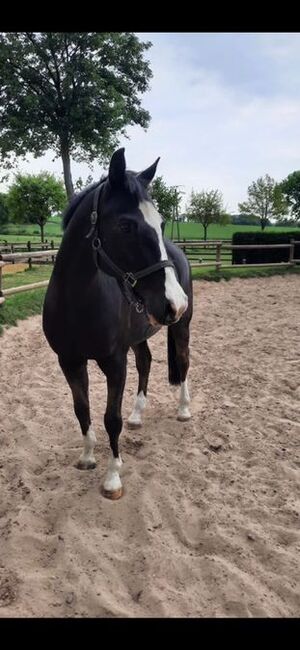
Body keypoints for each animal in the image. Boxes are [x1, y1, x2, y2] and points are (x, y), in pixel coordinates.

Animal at [42, 148, 193, 496]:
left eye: (161, 223)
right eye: (126, 226)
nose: (174, 302)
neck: (77, 302)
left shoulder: (114, 362)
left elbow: (112, 418)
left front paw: (113, 476)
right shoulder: (69, 361)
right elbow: (82, 409)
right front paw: (87, 457)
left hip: (181, 326)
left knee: (183, 360)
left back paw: (183, 410)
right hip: (141, 335)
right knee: (146, 362)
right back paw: (138, 415)